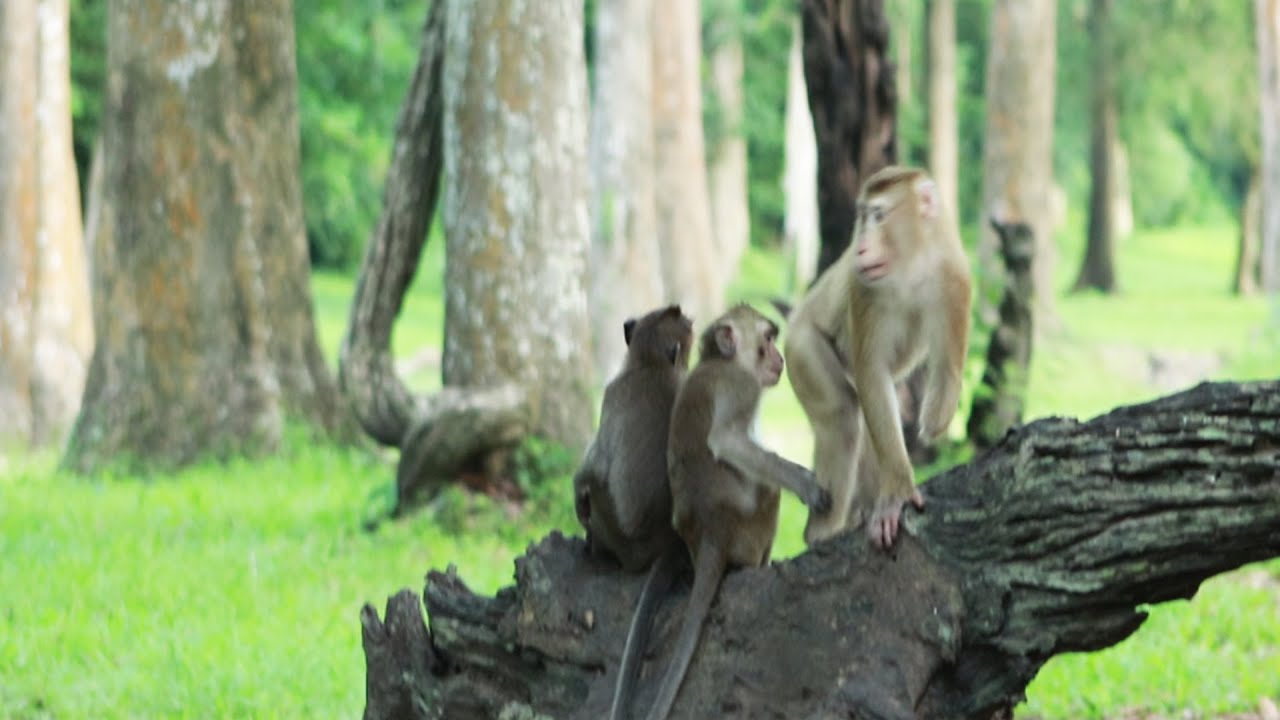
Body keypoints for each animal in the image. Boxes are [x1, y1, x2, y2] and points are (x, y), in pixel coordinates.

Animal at [625, 303, 831, 720]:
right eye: (767, 339)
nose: (780, 358)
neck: (720, 361)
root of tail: (712, 532)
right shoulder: (741, 387)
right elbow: (726, 441)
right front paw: (806, 484)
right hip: (749, 527)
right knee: (767, 490)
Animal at [784, 165, 971, 549]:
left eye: (880, 215)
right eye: (864, 217)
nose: (860, 247)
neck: (913, 266)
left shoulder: (956, 281)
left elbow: (947, 370)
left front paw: (933, 421)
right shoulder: (864, 289)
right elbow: (873, 373)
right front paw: (897, 492)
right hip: (801, 346)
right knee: (843, 415)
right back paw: (822, 532)